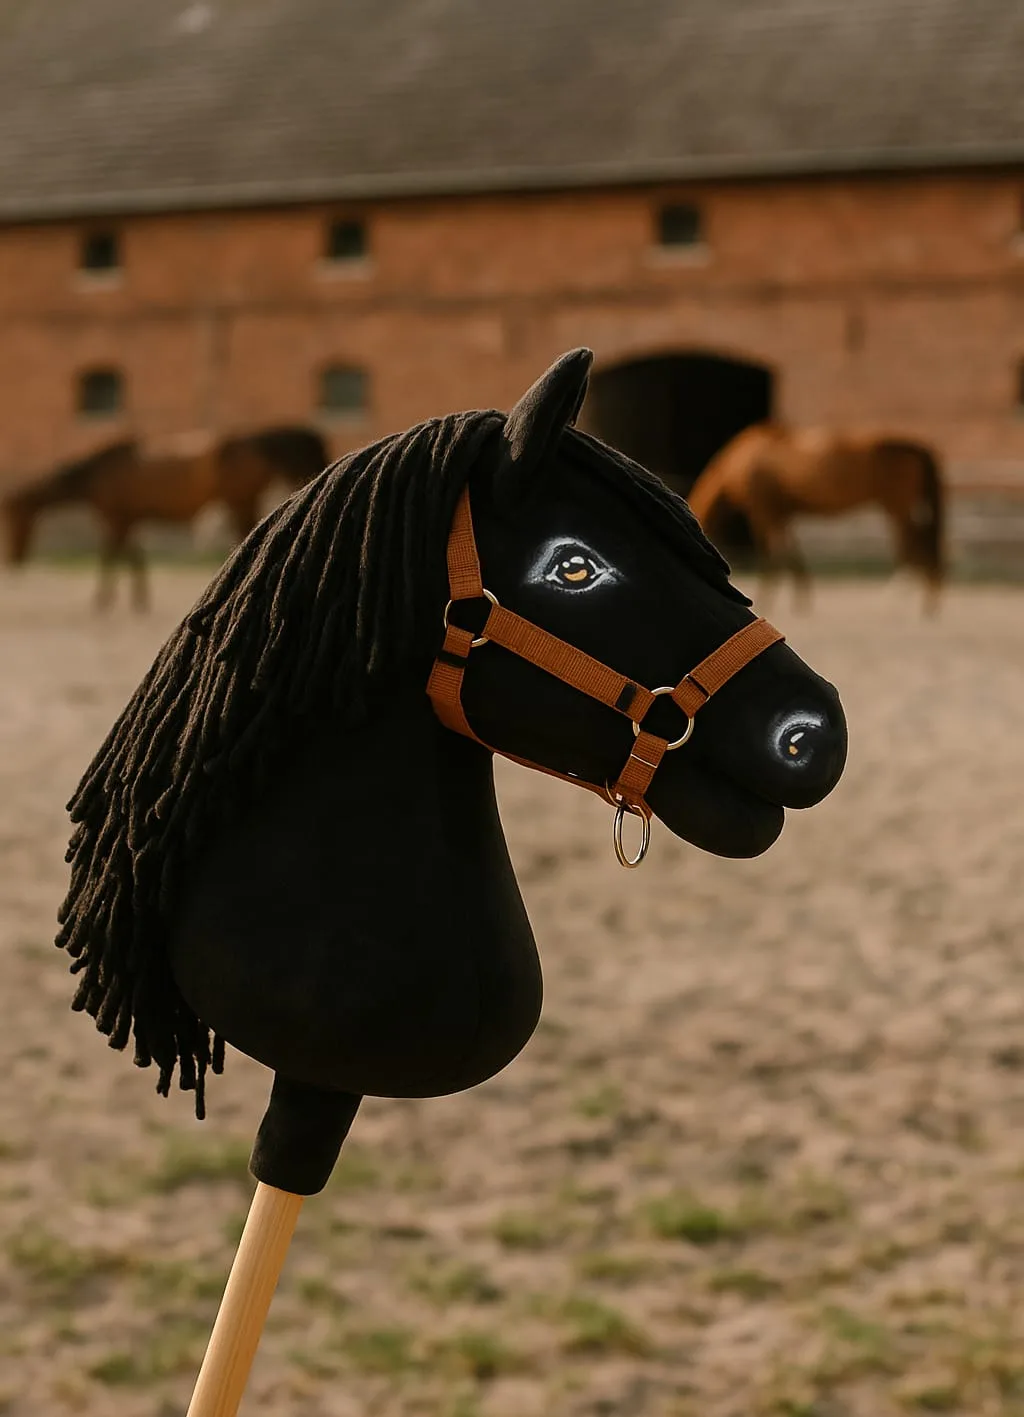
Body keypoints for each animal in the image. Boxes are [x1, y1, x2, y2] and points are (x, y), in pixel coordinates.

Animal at [1, 426, 328, 610]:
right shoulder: (130, 519)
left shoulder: (116, 519)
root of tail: (255, 442)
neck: (99, 472)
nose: (13, 559)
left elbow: (110, 556)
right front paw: (139, 600)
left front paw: (103, 600)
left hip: (240, 503)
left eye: (14, 517)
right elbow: (133, 557)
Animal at [687, 423, 945, 612]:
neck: (745, 457)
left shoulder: (763, 511)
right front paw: (802, 600)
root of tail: (915, 447)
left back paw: (898, 597)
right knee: (923, 542)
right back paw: (927, 602)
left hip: (896, 505)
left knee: (916, 543)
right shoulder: (783, 513)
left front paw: (767, 598)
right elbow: (791, 550)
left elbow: (773, 553)